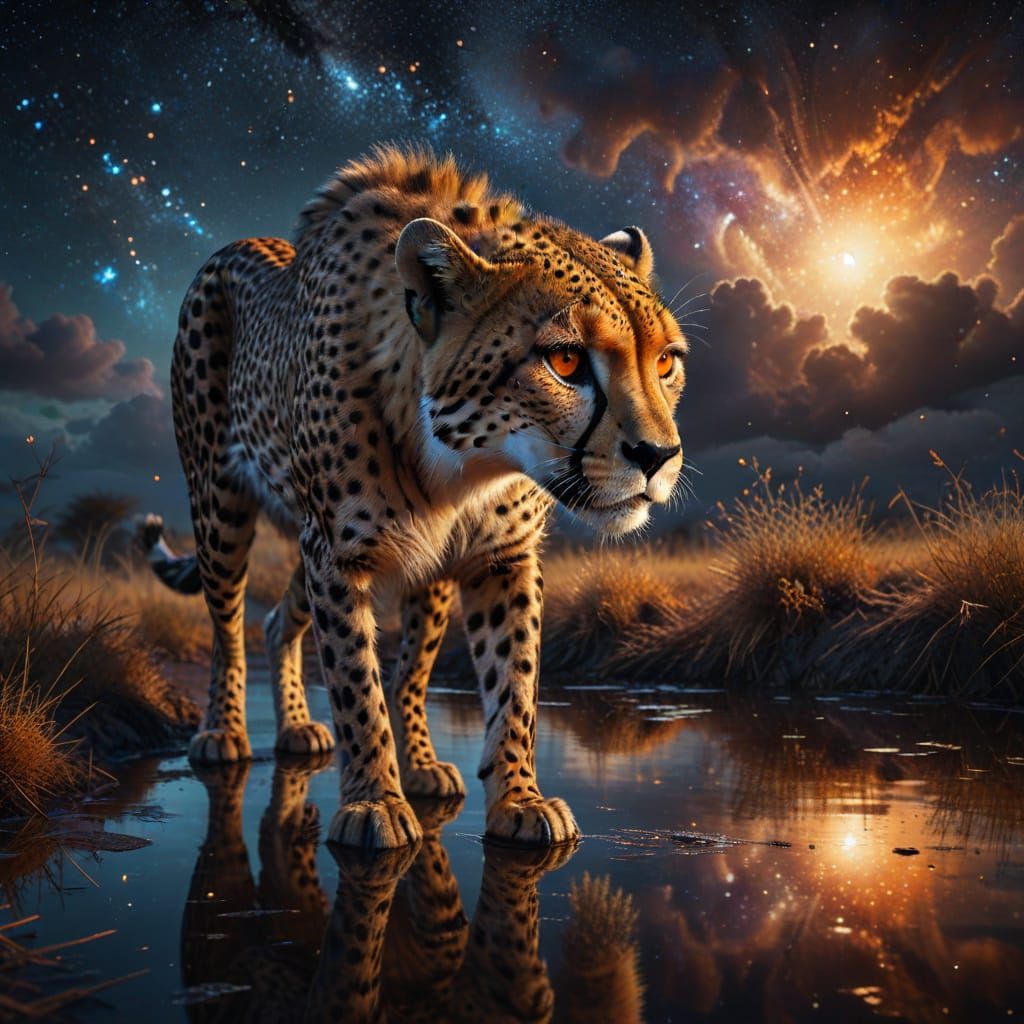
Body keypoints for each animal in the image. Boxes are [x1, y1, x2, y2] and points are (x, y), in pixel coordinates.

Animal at [142, 144, 688, 850]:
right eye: (565, 361)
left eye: (666, 361)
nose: (659, 456)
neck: (464, 468)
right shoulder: (337, 554)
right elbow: (356, 681)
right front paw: (374, 802)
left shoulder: (500, 557)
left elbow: (512, 682)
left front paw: (519, 797)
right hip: (221, 507)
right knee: (230, 623)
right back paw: (224, 731)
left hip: (409, 566)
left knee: (305, 630)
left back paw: (365, 748)